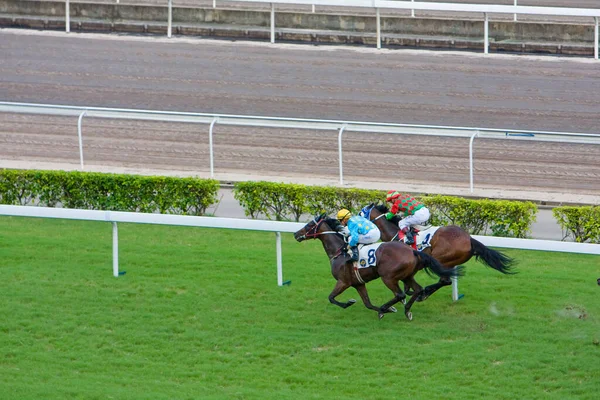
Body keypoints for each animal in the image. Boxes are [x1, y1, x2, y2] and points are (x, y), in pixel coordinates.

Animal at [292, 214, 462, 320]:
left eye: (309, 224)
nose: (295, 234)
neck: (339, 252)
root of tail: (413, 251)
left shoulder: (343, 281)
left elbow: (331, 298)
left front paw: (349, 303)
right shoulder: (358, 283)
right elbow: (367, 303)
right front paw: (388, 309)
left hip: (388, 277)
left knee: (400, 294)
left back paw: (385, 309)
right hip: (407, 275)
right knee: (417, 289)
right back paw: (406, 310)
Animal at [360, 205, 516, 302]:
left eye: (361, 213)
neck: (396, 234)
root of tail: (469, 239)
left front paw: (413, 292)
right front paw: (409, 291)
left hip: (440, 258)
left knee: (445, 280)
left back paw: (424, 293)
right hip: (451, 261)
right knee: (445, 280)